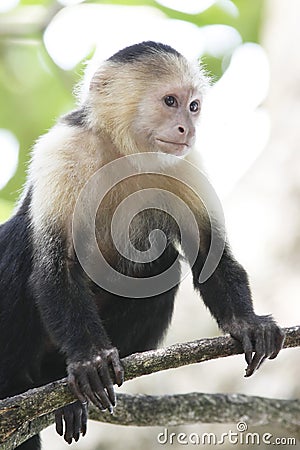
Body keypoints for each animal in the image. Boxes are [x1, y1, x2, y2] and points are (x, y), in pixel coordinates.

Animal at [0, 41, 284, 446]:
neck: (125, 151)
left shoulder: (185, 163)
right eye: (169, 101)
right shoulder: (64, 149)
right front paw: (91, 359)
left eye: (193, 106)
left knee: (161, 264)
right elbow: (56, 265)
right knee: (21, 249)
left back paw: (65, 400)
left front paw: (247, 322)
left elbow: (210, 255)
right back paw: (20, 386)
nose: (188, 128)